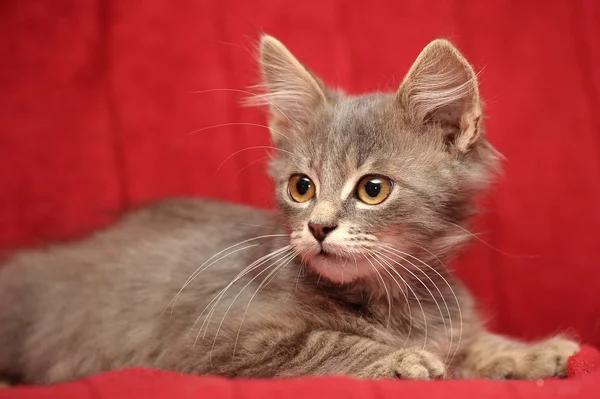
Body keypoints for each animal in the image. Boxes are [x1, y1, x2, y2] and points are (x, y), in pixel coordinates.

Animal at [1, 36, 580, 386]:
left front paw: (530, 353)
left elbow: (478, 344)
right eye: (302, 187)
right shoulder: (208, 343)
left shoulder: (451, 319)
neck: (392, 299)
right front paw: (400, 357)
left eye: (373, 189)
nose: (318, 227)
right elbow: (324, 341)